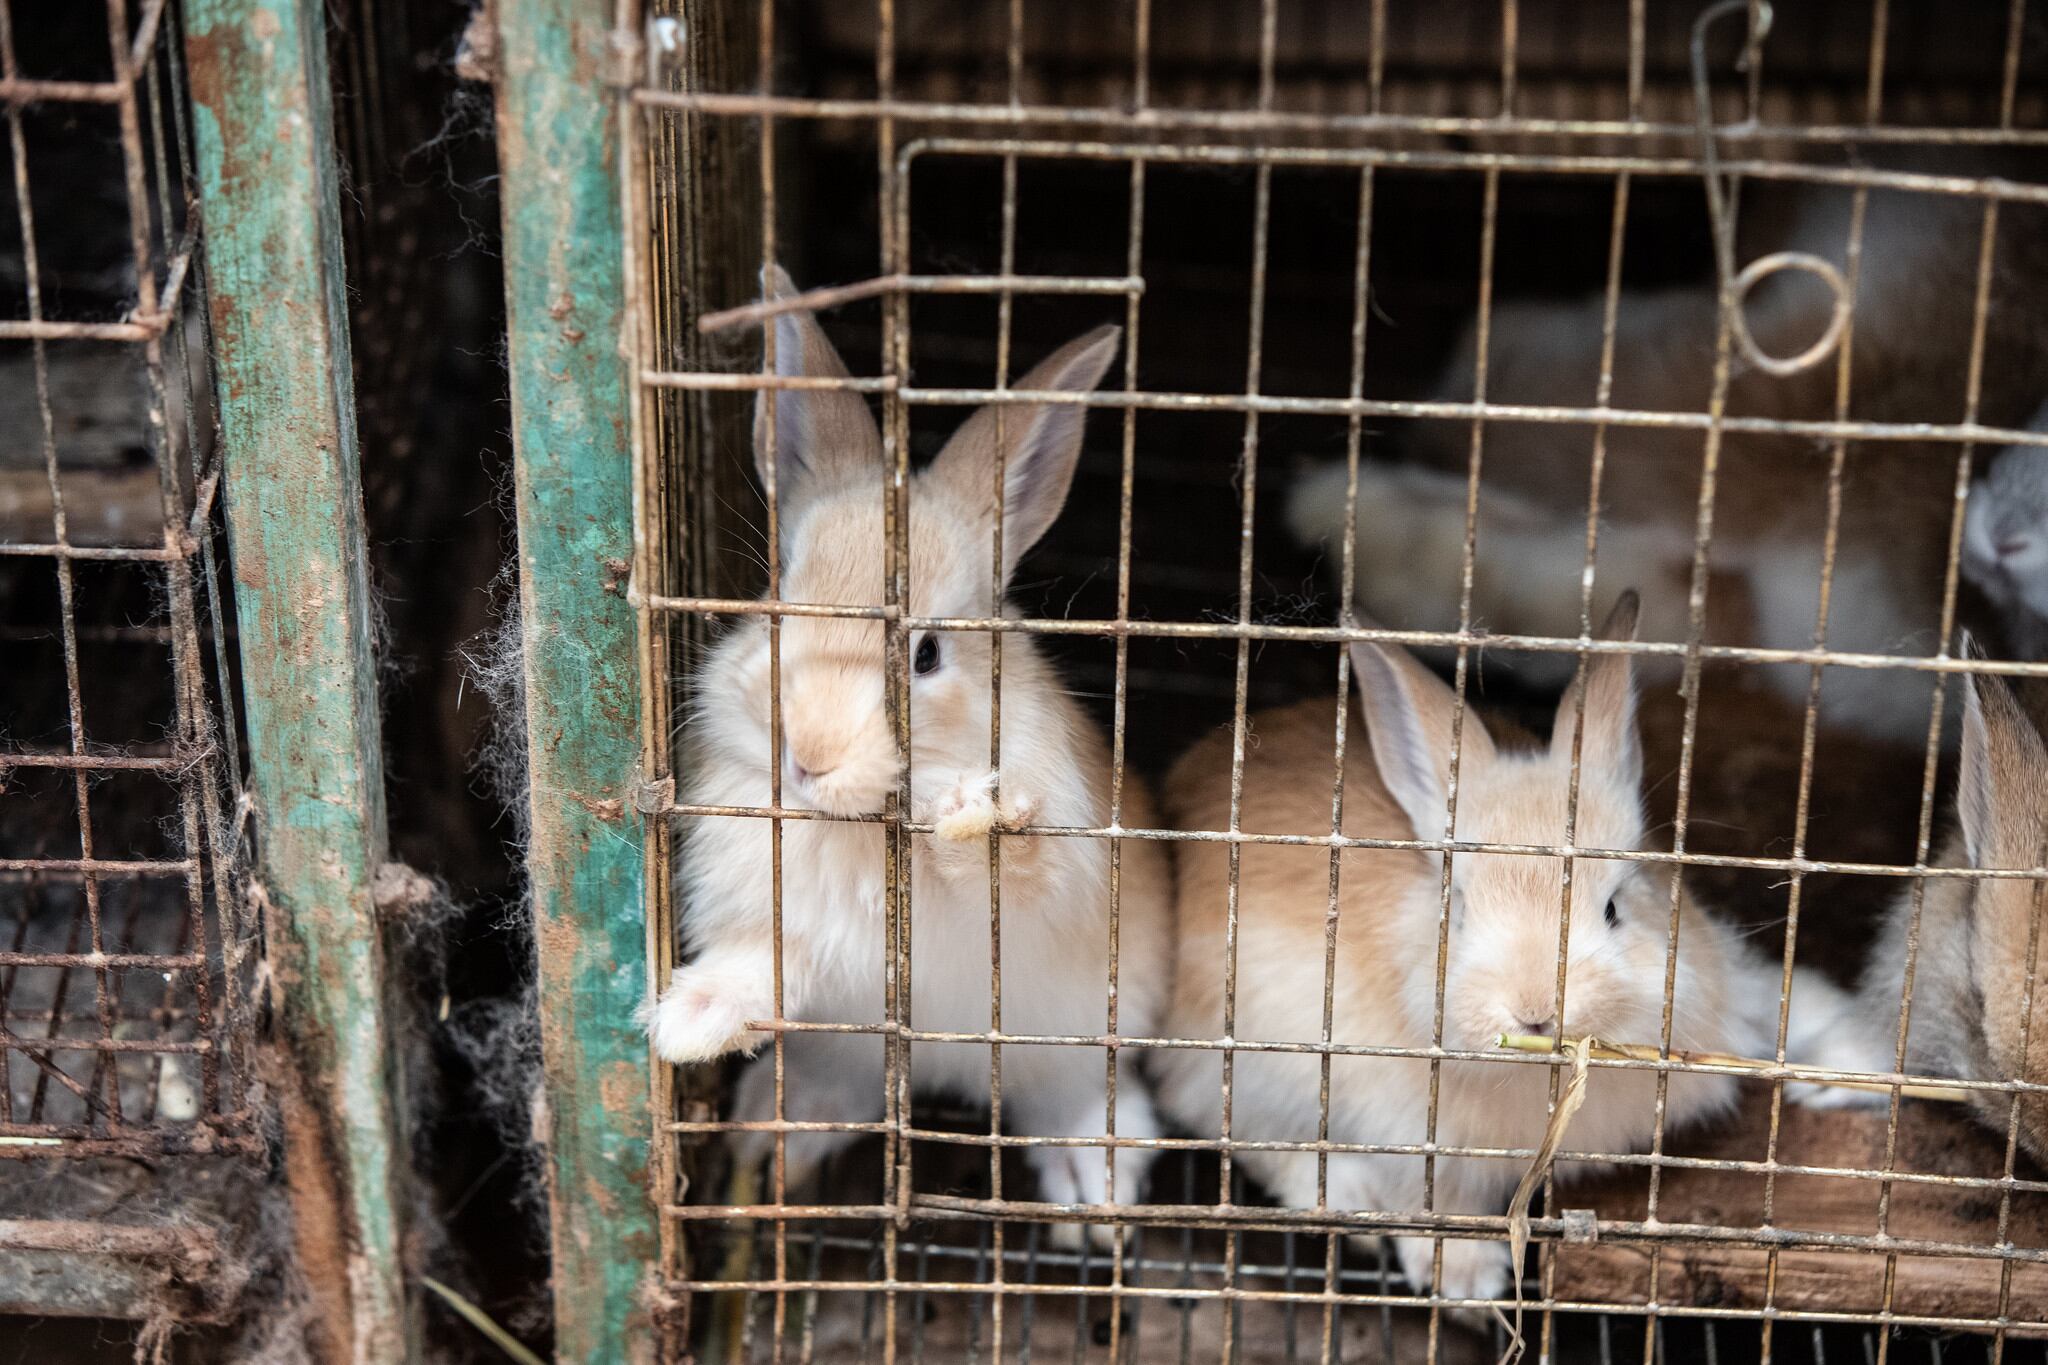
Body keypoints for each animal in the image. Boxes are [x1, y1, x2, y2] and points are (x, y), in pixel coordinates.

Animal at [647, 272, 1179, 1244]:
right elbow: (758, 967)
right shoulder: (798, 940)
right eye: (774, 599)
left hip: (1075, 1036)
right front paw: (687, 1023)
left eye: (926, 654)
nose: (807, 753)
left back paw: (1096, 1190)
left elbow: (1013, 872)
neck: (857, 823)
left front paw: (968, 816)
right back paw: (774, 1140)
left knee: (1077, 1095)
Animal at [1155, 593, 1875, 1309]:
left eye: (1613, 907)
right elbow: (1430, 1199)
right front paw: (1469, 1280)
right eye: (1461, 908)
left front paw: (1846, 1070)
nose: (1533, 1011)